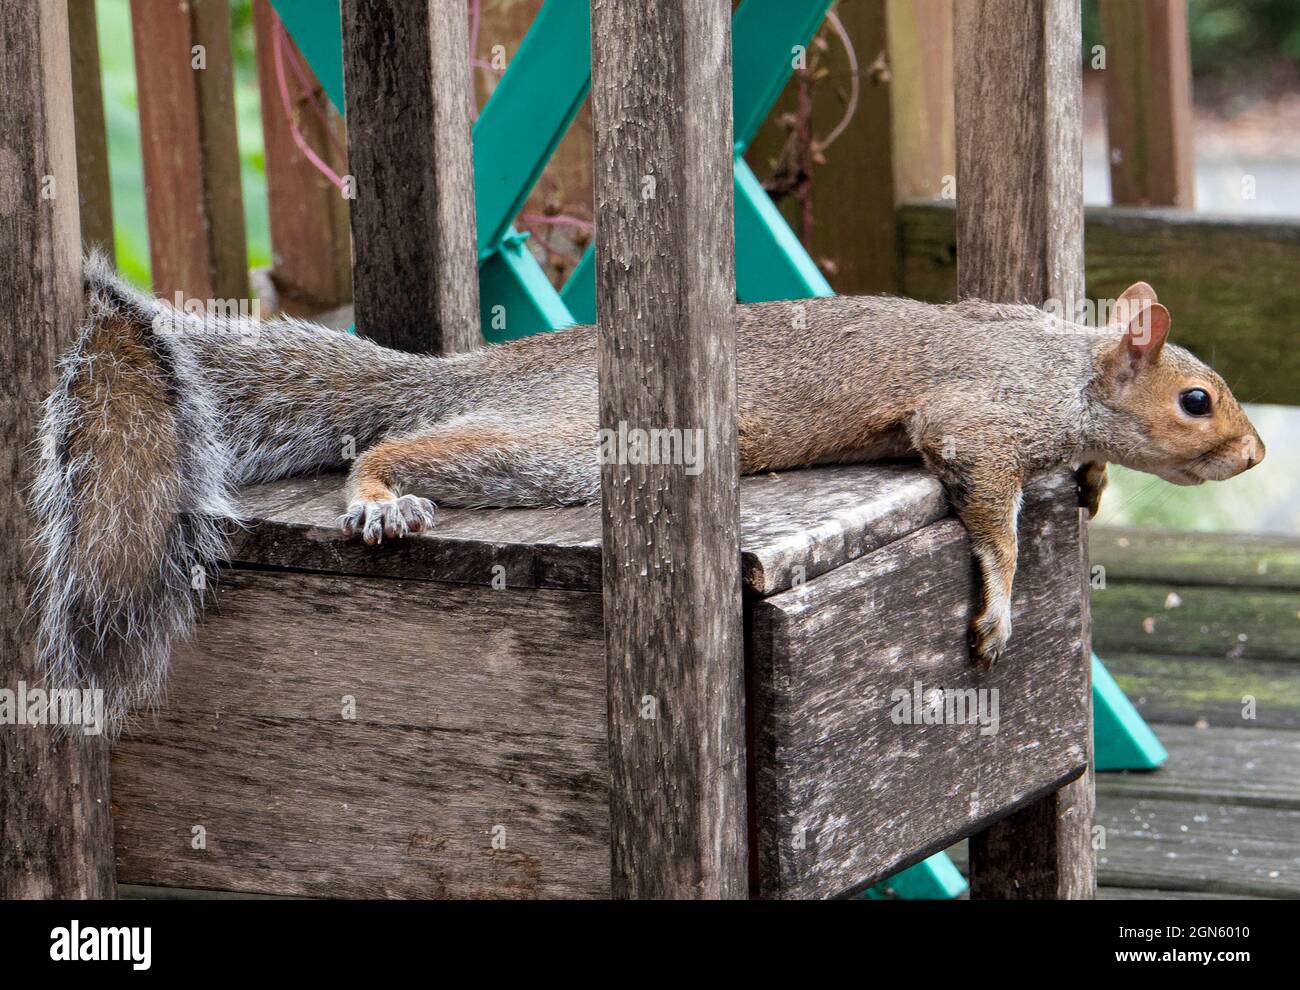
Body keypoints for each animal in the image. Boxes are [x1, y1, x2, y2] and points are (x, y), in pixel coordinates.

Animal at [31, 256, 1264, 730]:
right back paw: (378, 493)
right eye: (1197, 399)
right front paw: (1001, 607)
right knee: (397, 443)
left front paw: (1094, 474)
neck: (1061, 366)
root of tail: (486, 371)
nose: (1255, 455)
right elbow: (990, 513)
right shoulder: (980, 418)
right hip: (562, 444)